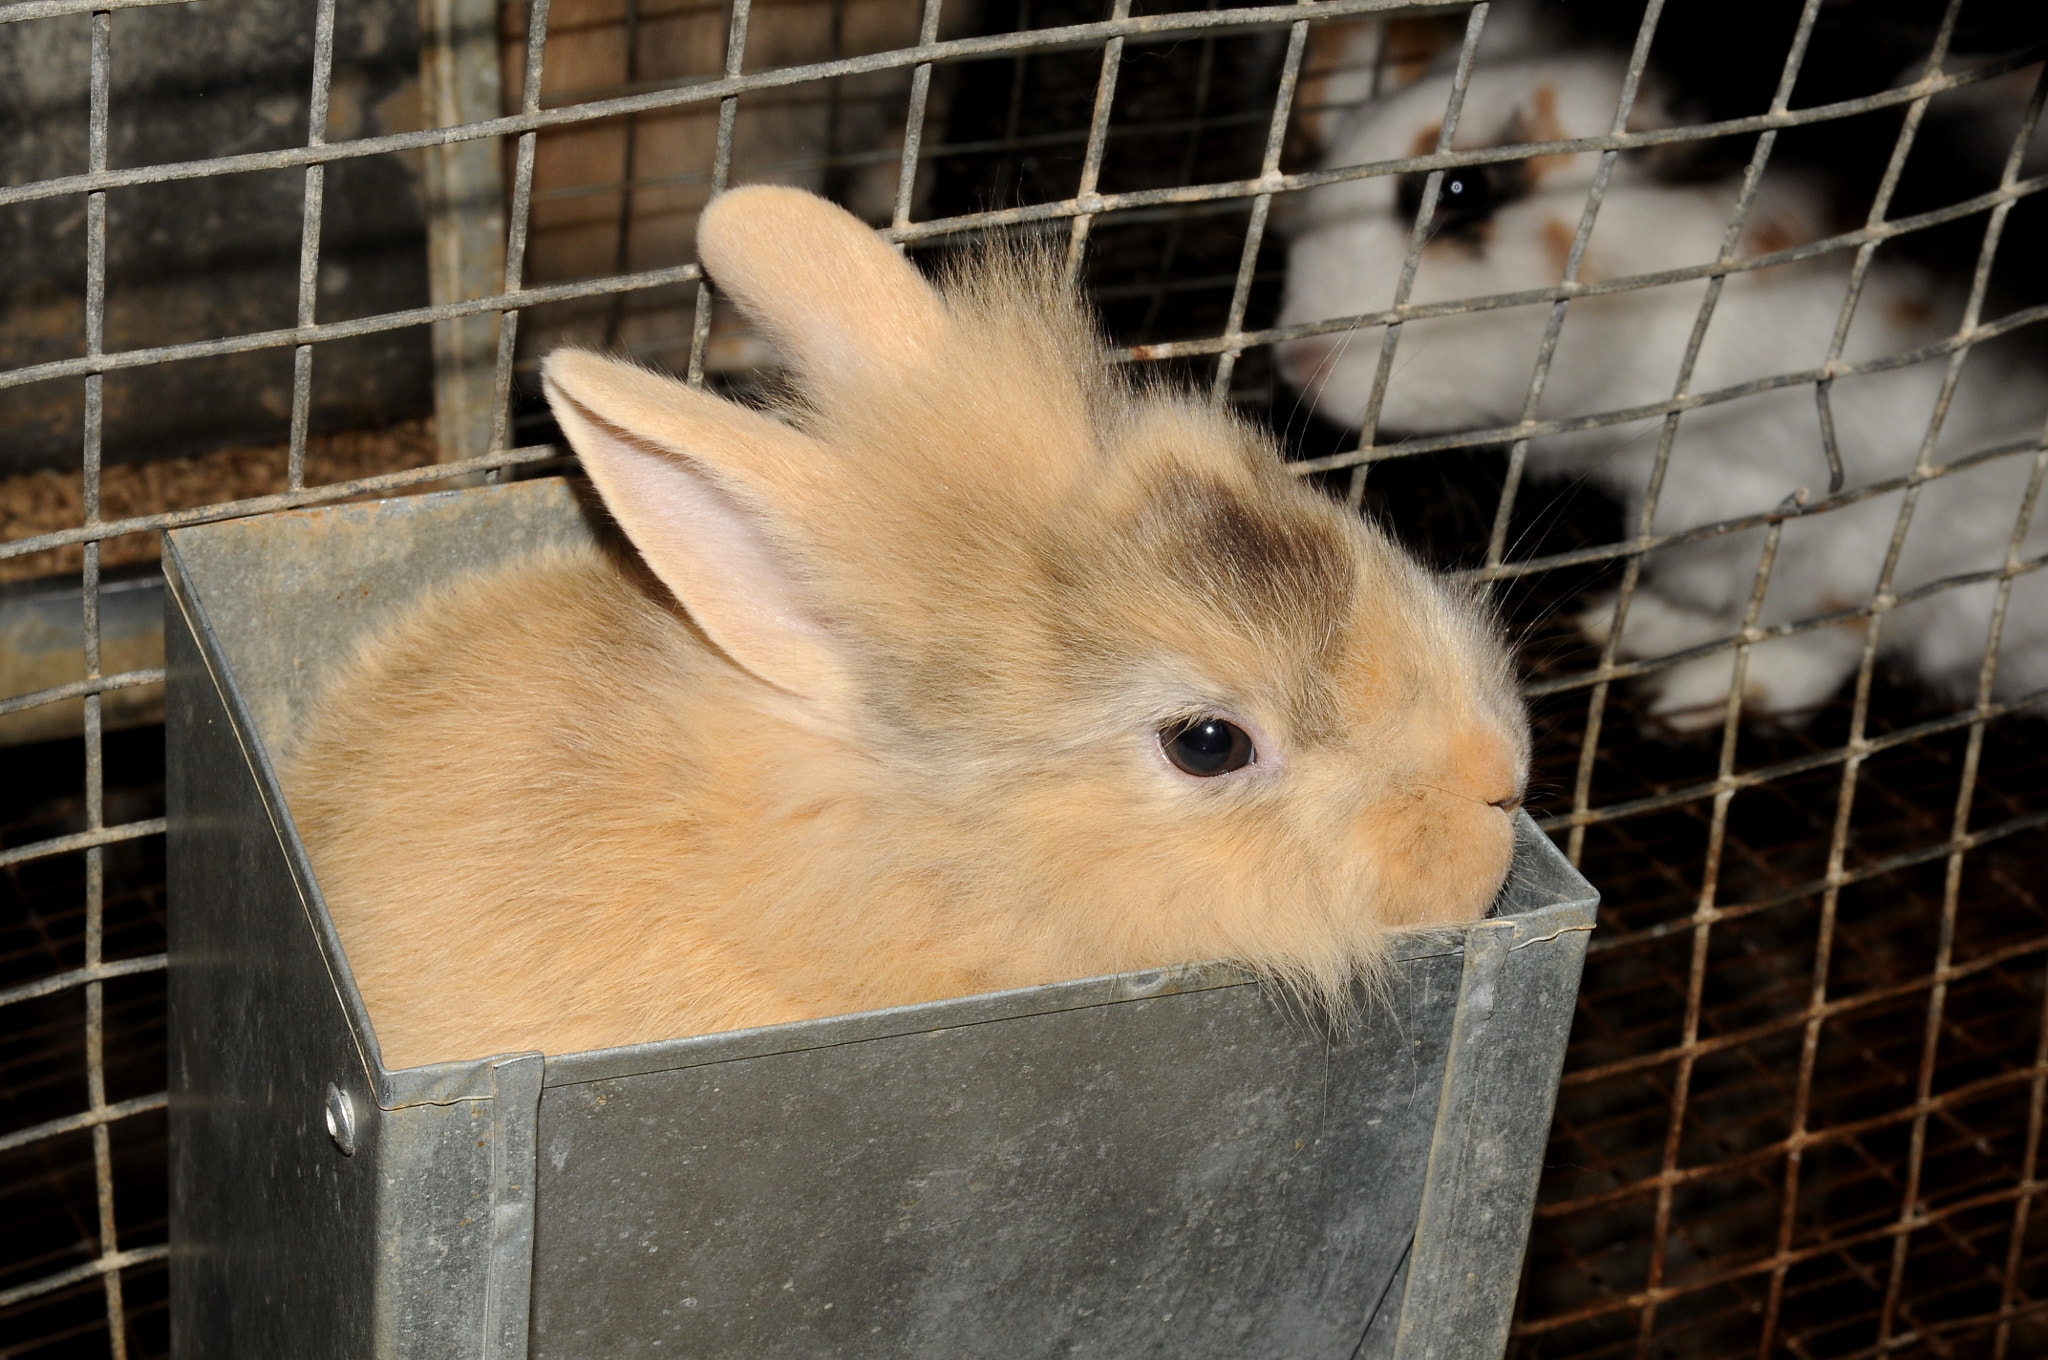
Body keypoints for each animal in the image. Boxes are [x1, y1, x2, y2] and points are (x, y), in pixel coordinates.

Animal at [1275, 41, 2048, 731]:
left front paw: (1696, 698)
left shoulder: (1876, 523)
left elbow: (1823, 630)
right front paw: (1632, 625)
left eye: (1462, 189)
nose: (1295, 363)